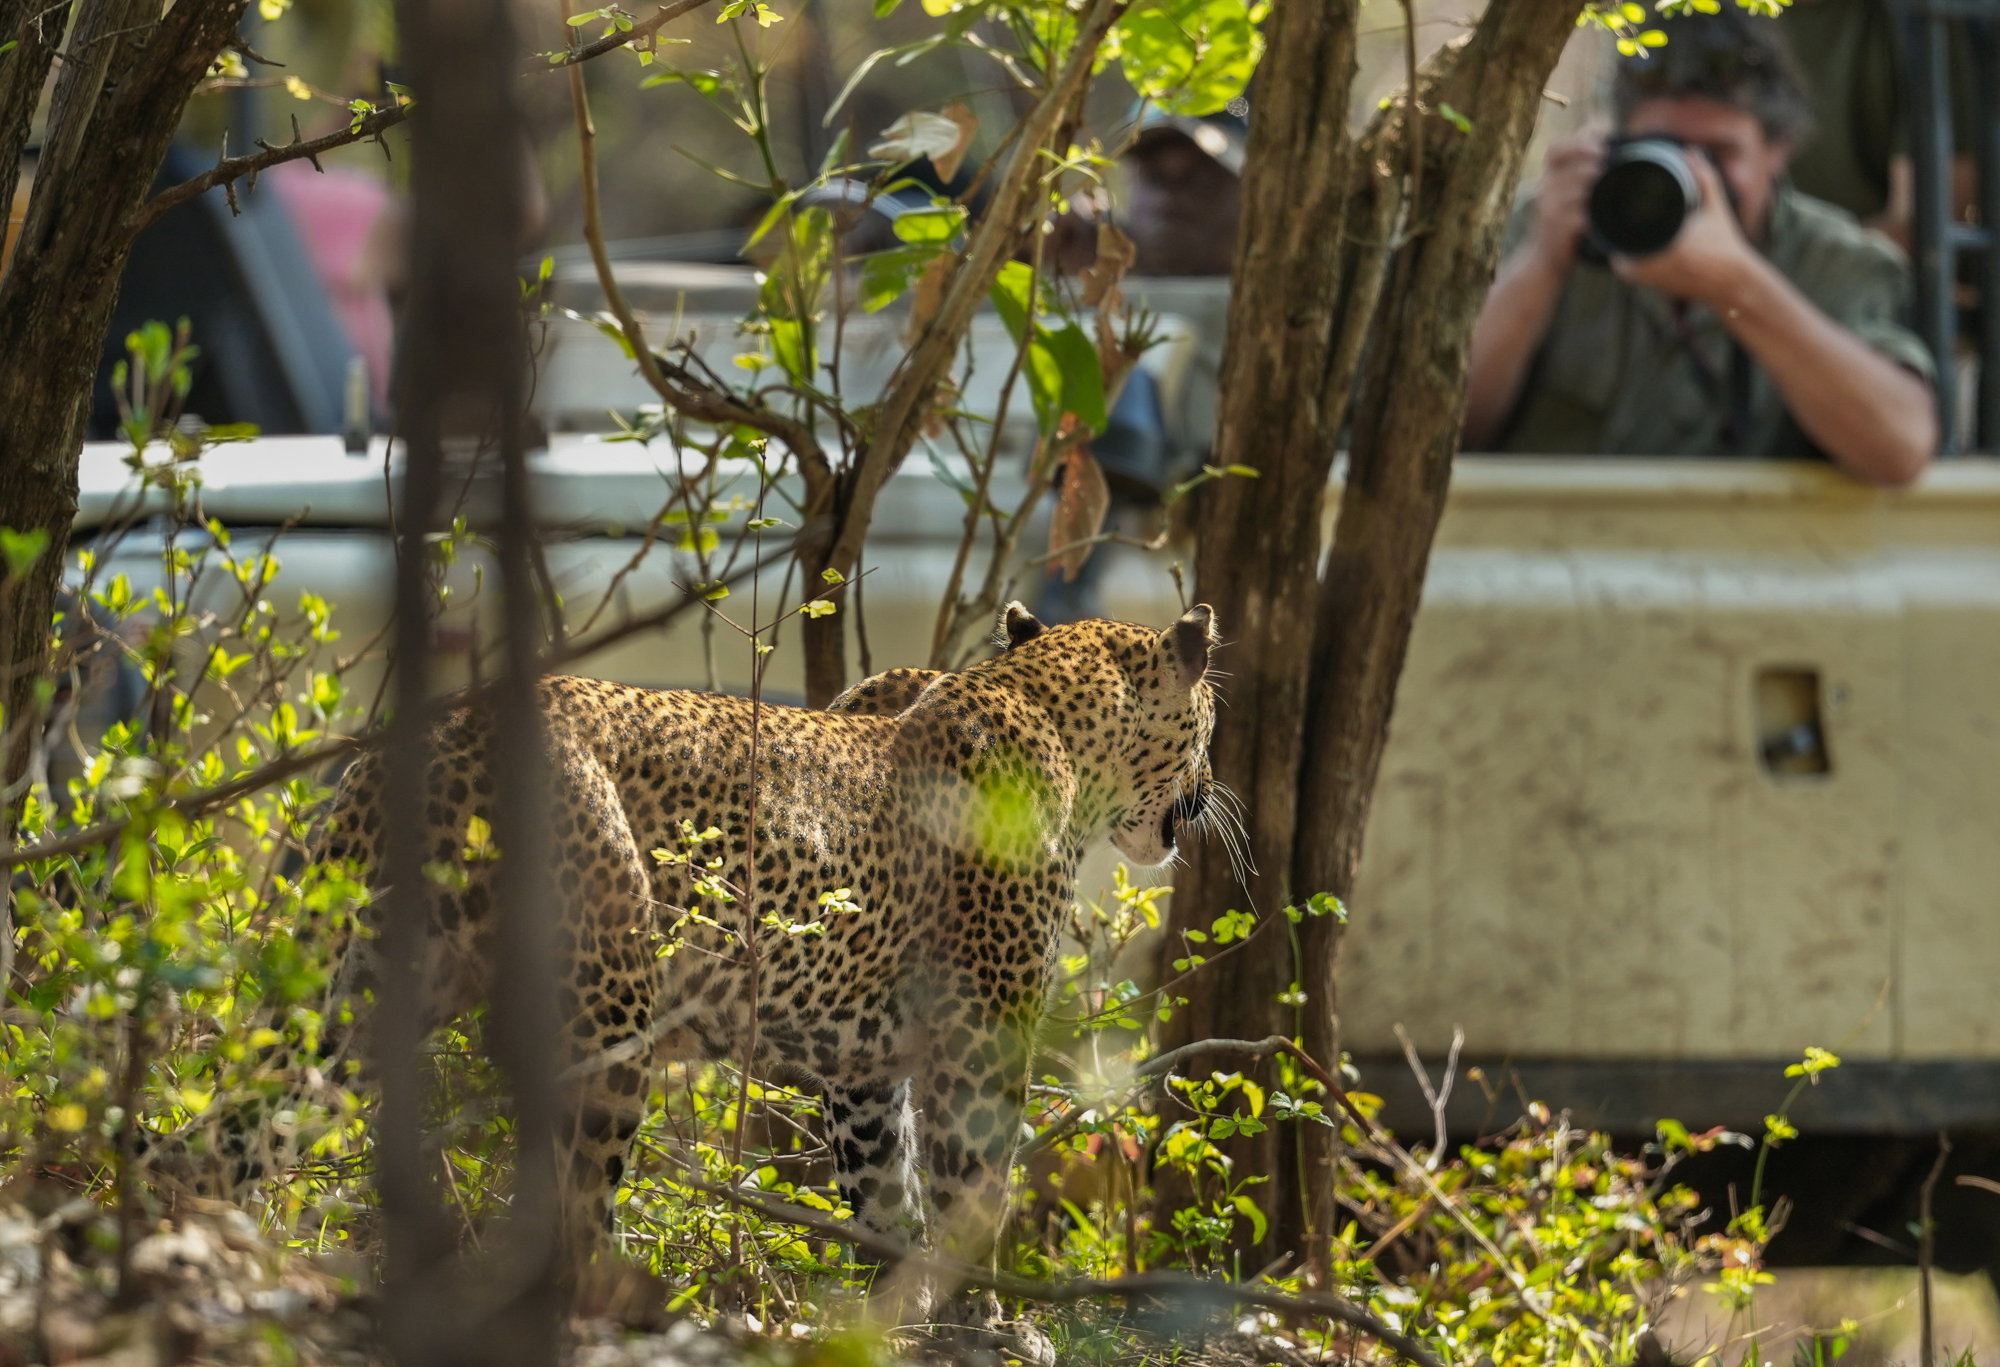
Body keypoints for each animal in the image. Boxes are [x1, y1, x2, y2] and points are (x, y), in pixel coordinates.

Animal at [156, 601, 1224, 1300]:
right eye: (1211, 718)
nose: (1211, 789)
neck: (1055, 718)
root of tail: (432, 735)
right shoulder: (978, 1043)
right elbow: (972, 1197)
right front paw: (991, 1323)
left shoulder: (867, 1075)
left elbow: (890, 1206)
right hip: (605, 1016)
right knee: (572, 1215)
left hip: (355, 993)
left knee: (220, 1140)